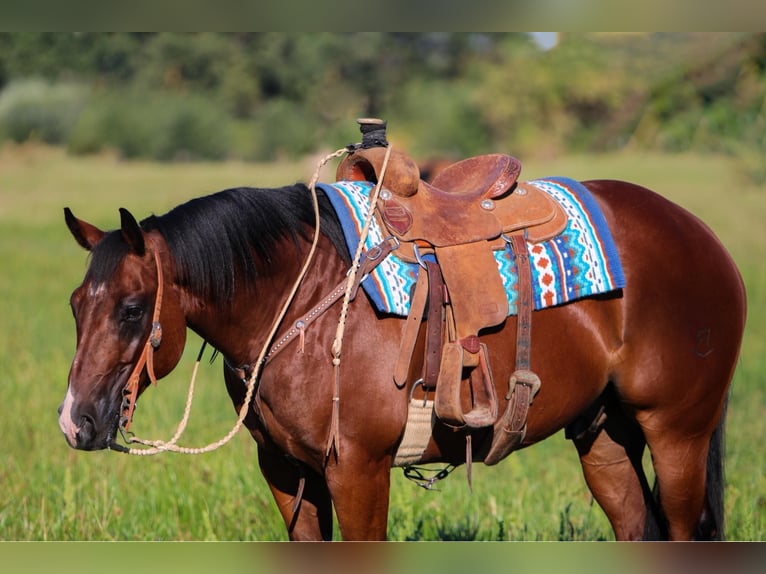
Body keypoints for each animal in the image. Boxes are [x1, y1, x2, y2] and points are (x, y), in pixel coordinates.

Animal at [60, 168, 752, 544]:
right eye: (74, 305)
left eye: (131, 308)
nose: (75, 422)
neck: (302, 301)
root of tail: (705, 239)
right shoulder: (285, 471)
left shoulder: (358, 470)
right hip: (605, 436)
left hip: (678, 433)